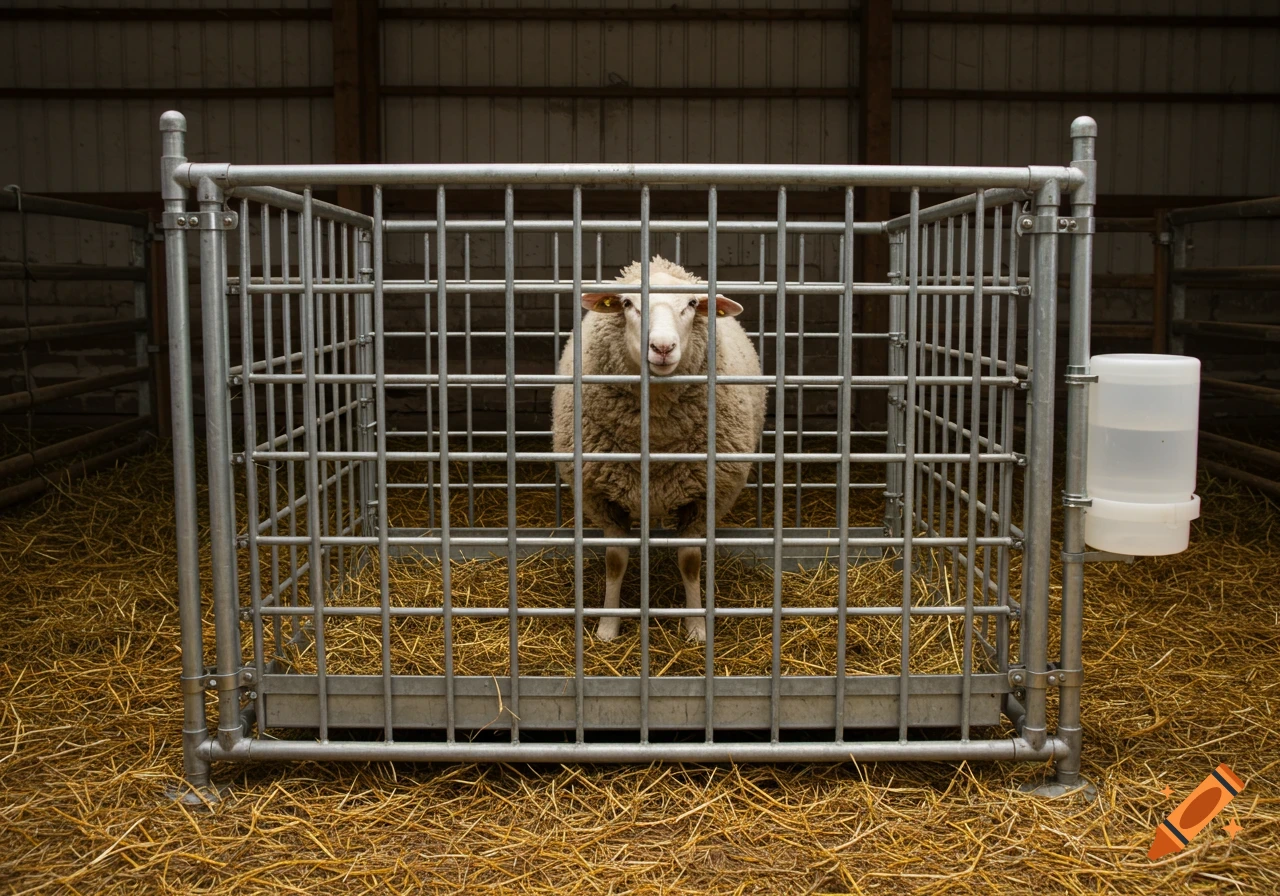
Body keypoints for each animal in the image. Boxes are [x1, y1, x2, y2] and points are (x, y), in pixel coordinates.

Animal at [551, 255, 766, 642]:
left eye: (692, 304)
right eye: (627, 304)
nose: (663, 348)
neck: (656, 438)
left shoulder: (705, 496)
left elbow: (690, 561)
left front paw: (696, 626)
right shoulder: (601, 496)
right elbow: (616, 560)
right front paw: (608, 626)